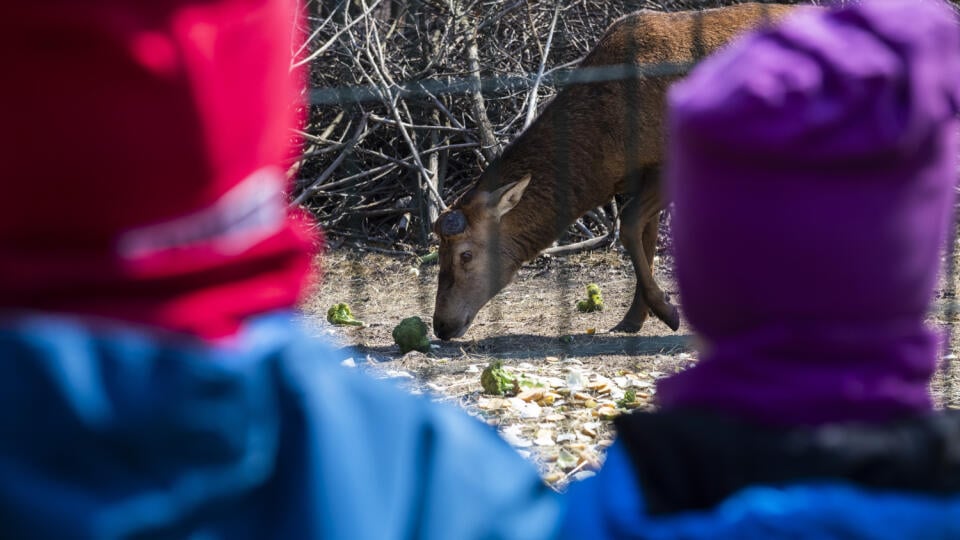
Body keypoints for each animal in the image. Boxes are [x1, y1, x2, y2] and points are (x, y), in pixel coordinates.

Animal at [432, 2, 800, 340]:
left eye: (466, 254)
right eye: (439, 251)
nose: (441, 325)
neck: (607, 150)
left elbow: (629, 224)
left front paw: (667, 311)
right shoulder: (641, 175)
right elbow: (647, 240)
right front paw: (633, 319)